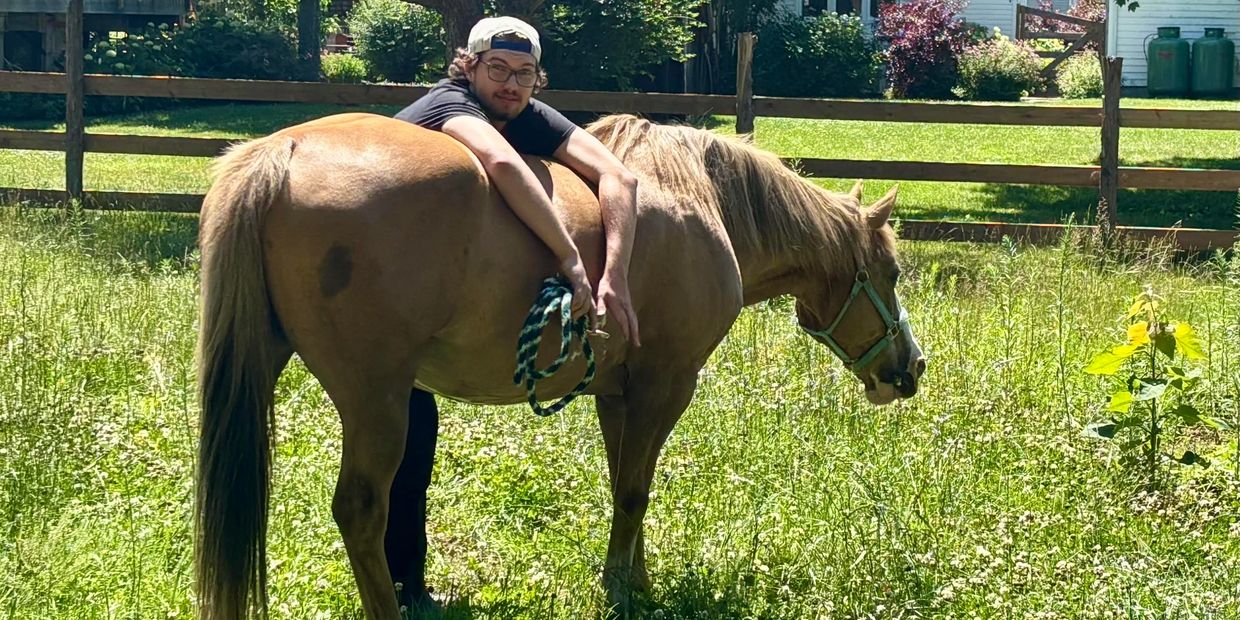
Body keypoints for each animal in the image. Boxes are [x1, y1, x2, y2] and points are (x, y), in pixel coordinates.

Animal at [194, 112, 925, 619]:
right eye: (890, 272)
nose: (911, 368)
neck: (702, 201)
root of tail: (282, 151)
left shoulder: (615, 393)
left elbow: (626, 484)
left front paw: (633, 578)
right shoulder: (666, 383)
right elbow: (634, 490)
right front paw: (622, 592)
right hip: (376, 399)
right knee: (361, 509)